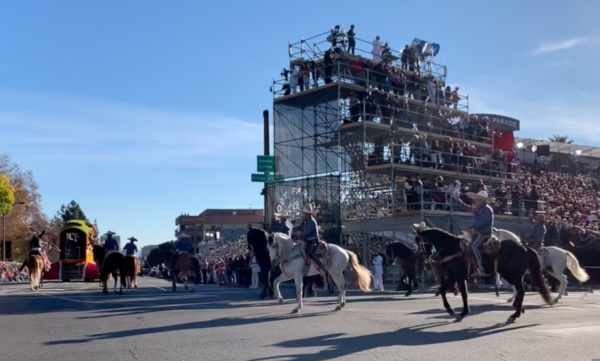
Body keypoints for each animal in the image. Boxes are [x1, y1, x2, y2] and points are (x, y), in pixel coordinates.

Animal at [414, 226, 552, 322]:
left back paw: (514, 314)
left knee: (521, 290)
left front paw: (450, 310)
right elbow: (464, 294)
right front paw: (463, 312)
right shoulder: (461, 277)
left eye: (419, 242)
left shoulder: (455, 275)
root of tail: (524, 247)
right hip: (515, 276)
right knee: (520, 290)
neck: (452, 248)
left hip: (512, 275)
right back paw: (518, 308)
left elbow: (443, 290)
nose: (424, 260)